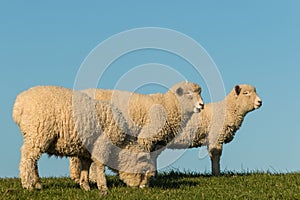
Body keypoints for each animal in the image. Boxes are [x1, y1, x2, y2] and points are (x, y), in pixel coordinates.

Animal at [11, 85, 155, 195]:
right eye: (144, 172)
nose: (144, 189)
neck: (121, 146)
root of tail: (19, 103)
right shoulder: (102, 145)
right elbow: (100, 166)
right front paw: (103, 187)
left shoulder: (87, 149)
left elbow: (86, 165)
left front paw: (85, 186)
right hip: (38, 133)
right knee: (27, 160)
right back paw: (27, 185)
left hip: (34, 137)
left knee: (33, 161)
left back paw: (37, 183)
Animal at [68, 81, 204, 181]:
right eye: (188, 93)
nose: (202, 105)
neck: (167, 105)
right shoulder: (147, 136)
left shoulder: (158, 141)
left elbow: (154, 157)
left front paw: (154, 176)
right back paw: (79, 177)